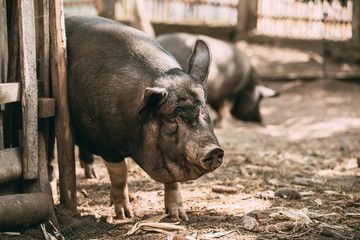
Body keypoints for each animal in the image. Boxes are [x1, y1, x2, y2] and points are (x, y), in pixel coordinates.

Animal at [64, 15, 222, 220]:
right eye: (172, 118)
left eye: (203, 110)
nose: (214, 150)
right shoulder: (108, 146)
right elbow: (120, 175)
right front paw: (125, 215)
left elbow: (173, 182)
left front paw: (179, 217)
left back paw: (92, 176)